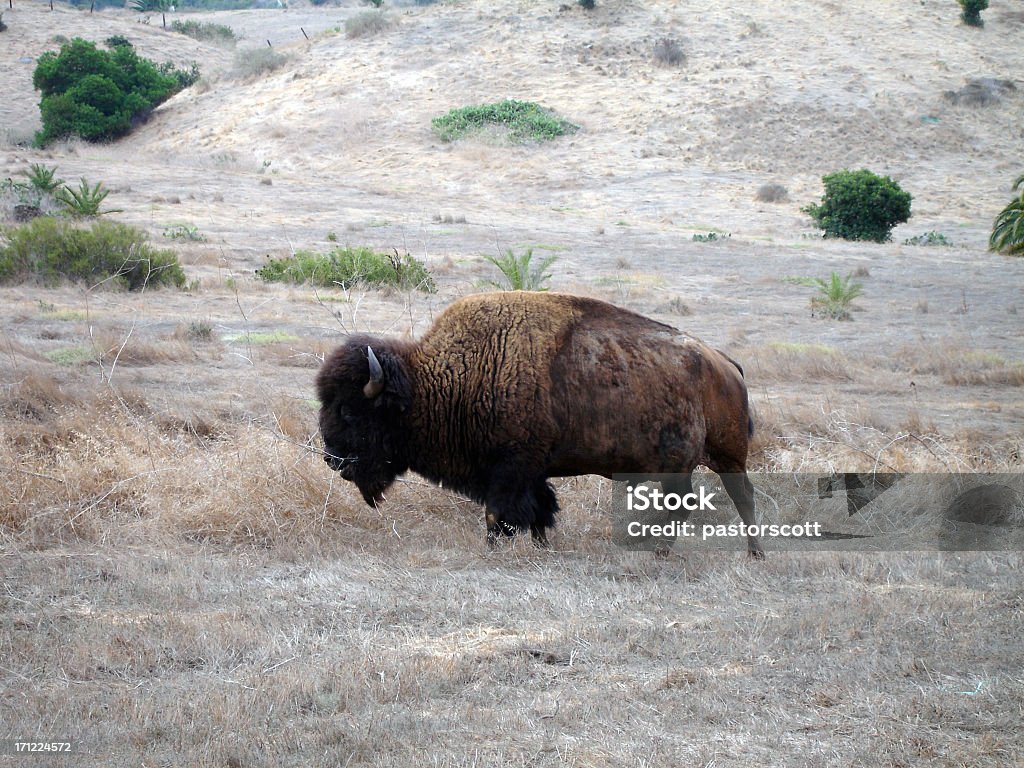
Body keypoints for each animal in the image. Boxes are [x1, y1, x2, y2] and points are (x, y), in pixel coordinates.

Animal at [315, 290, 765, 557]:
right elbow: (540, 510)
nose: (332, 459)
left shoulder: (510, 469)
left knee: (735, 498)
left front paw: (495, 549)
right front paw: (542, 546)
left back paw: (729, 552)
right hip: (690, 463)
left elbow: (499, 513)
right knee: (692, 501)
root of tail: (726, 365)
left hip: (722, 457)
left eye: (350, 411)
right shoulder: (531, 473)